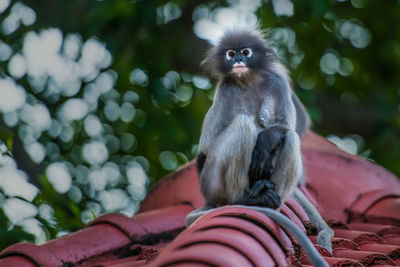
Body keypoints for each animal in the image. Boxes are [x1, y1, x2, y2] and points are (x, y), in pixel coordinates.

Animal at [186, 29, 332, 260]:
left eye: (246, 52)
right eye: (231, 54)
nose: (238, 59)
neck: (248, 81)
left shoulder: (278, 83)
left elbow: (283, 125)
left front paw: (265, 143)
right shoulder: (225, 90)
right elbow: (206, 147)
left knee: (291, 137)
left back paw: (269, 195)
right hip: (210, 181)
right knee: (242, 124)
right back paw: (244, 199)